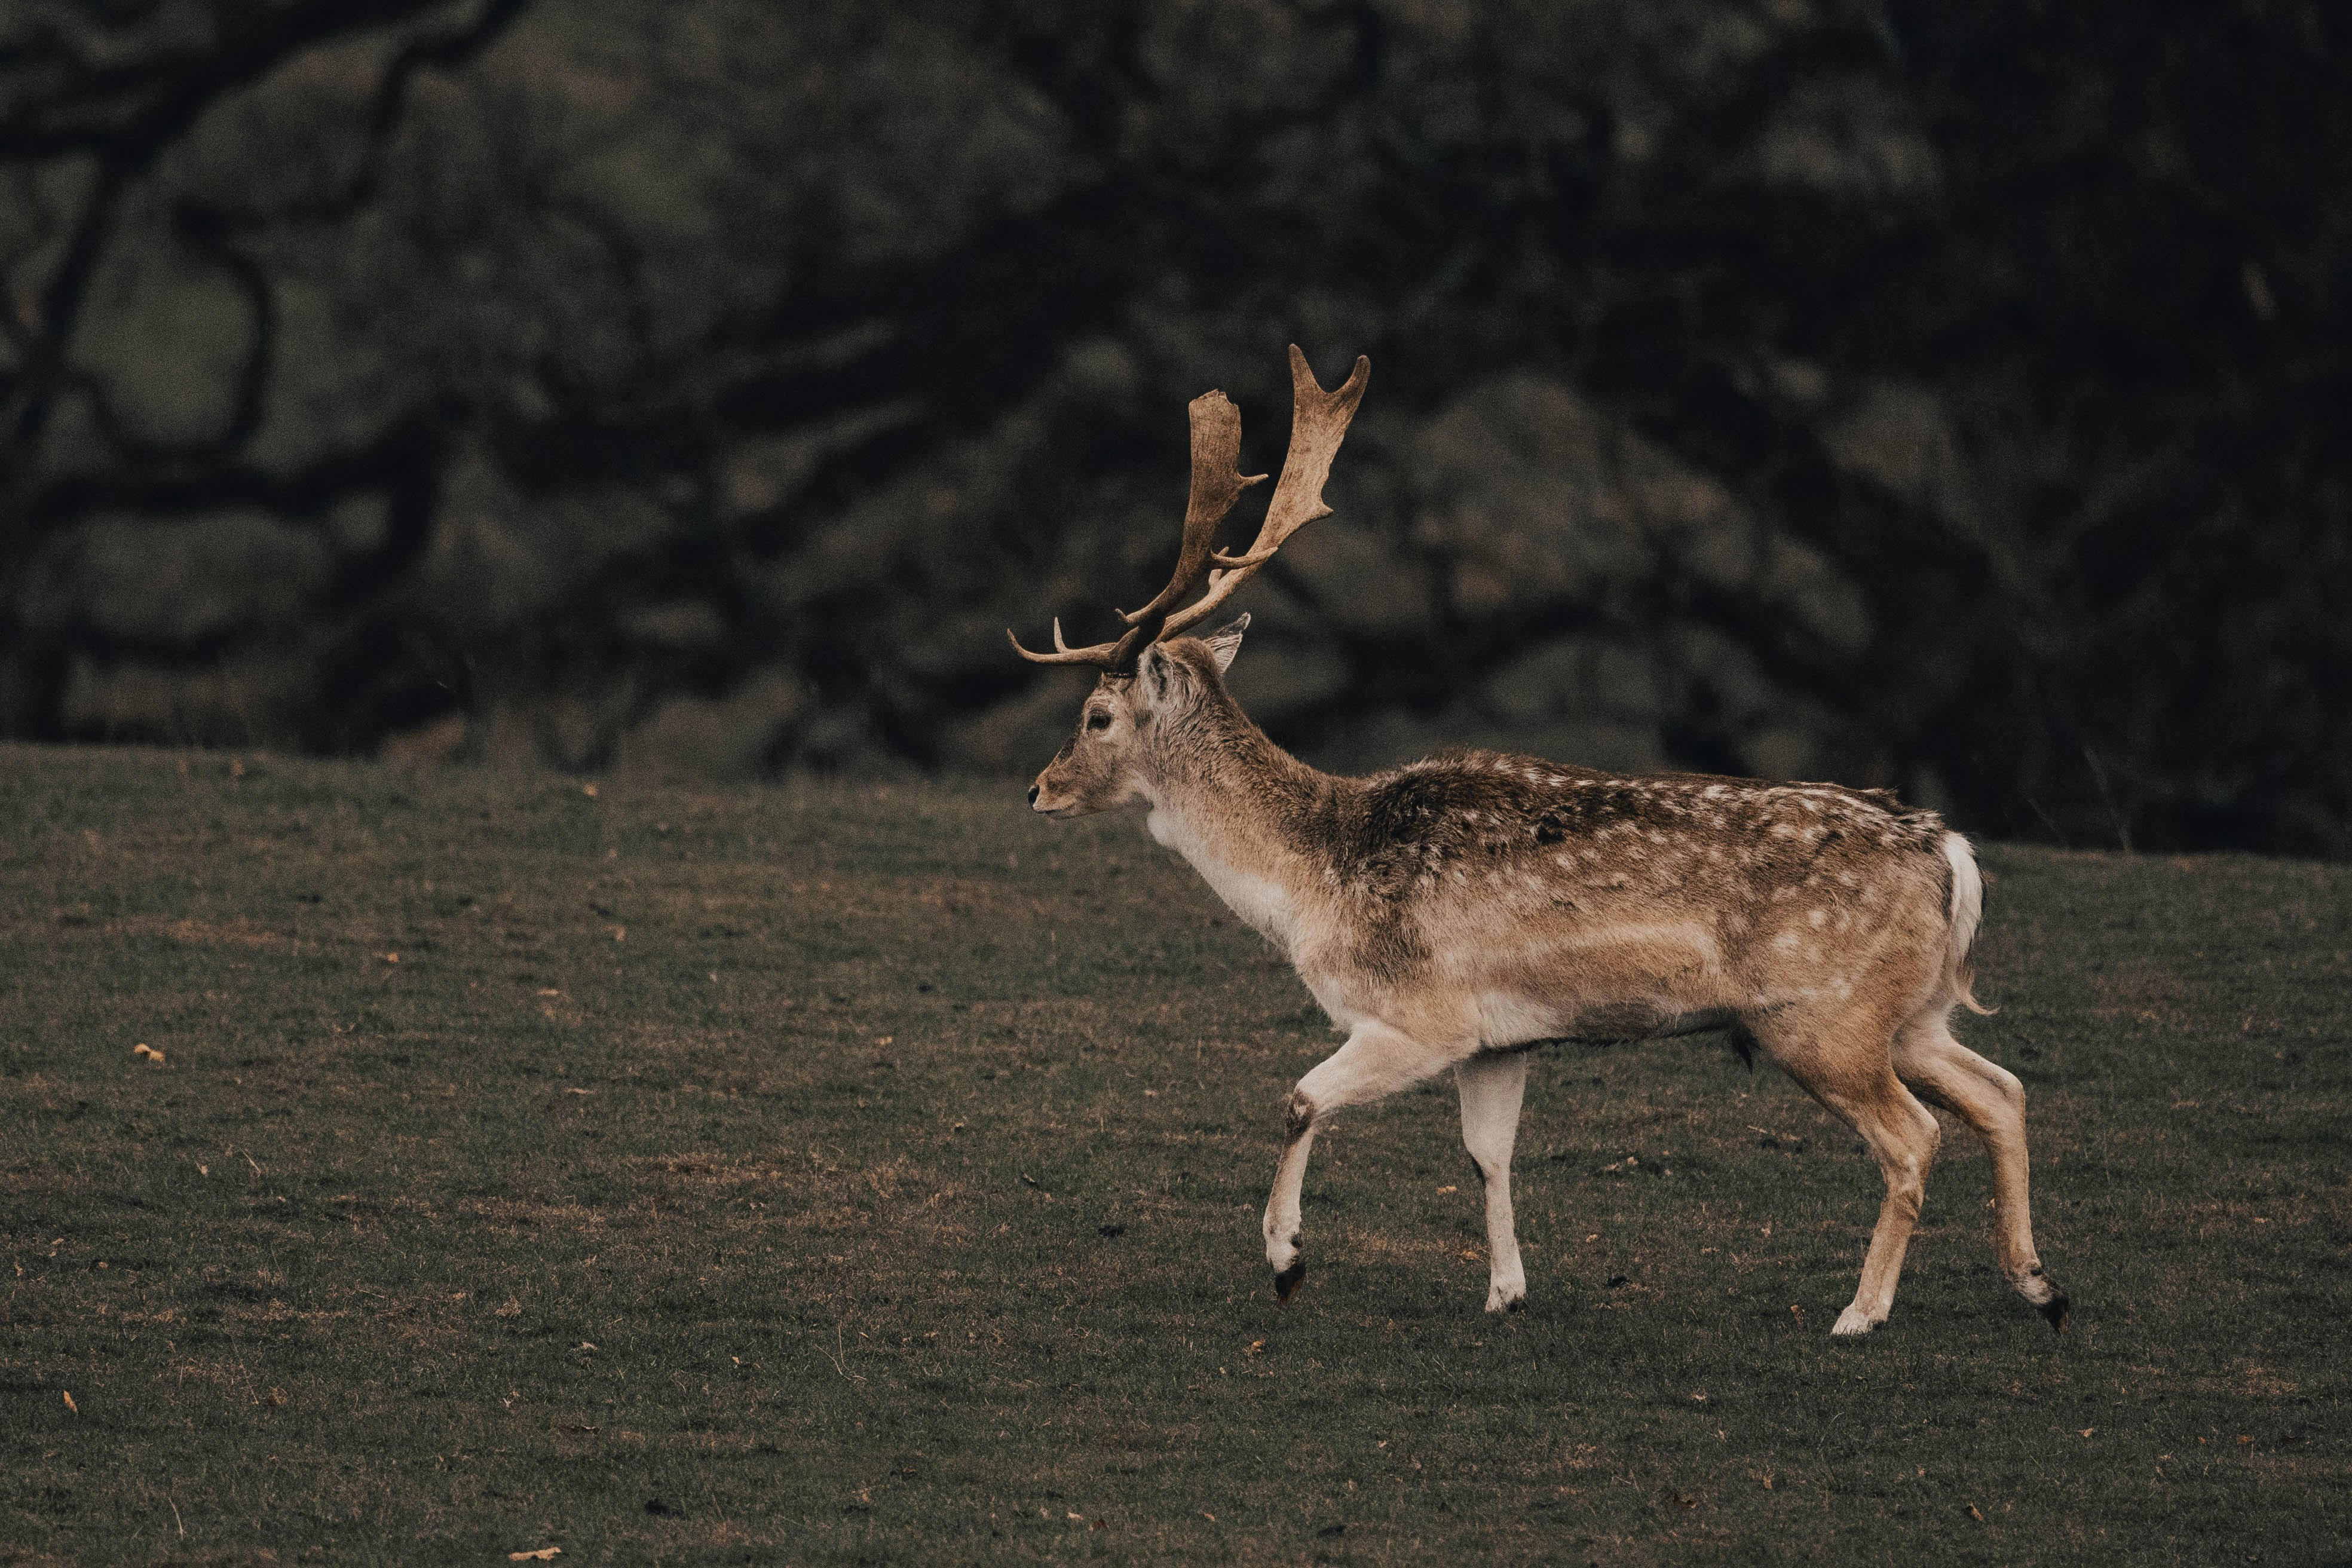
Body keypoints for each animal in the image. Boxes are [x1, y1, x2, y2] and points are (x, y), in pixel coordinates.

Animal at [1002, 343, 2069, 1335]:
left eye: (1097, 716)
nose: (1039, 788)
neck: (1313, 879)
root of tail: (1950, 853)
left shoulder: (1418, 1017)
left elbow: (1300, 1098)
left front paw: (1287, 1261)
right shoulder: (1497, 1039)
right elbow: (1488, 1154)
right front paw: (1507, 1292)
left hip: (1822, 1017)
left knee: (1916, 1134)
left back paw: (1863, 1311)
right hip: (1911, 1010)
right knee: (2002, 1090)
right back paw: (2038, 1284)